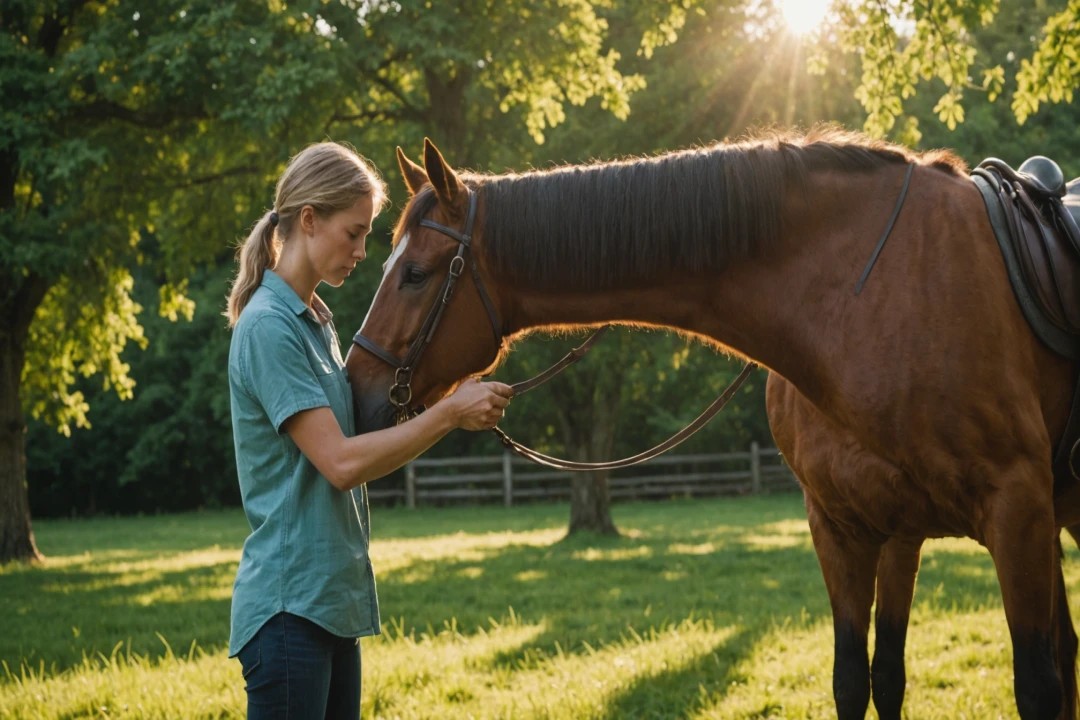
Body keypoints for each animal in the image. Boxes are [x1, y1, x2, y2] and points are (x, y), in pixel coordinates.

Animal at [345, 127, 1080, 719]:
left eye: (415, 275)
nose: (357, 390)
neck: (865, 296)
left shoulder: (1014, 511)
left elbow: (1036, 687)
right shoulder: (861, 529)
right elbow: (866, 681)